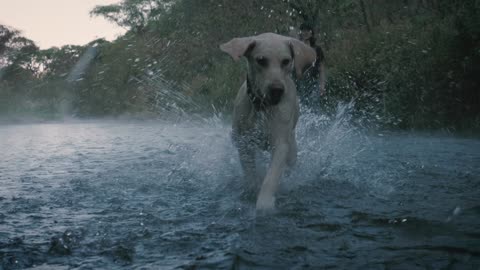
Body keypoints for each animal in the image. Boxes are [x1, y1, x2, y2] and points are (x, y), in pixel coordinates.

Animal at [219, 32, 316, 211]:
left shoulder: (280, 143)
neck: (263, 108)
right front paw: (252, 189)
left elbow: (272, 176)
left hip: (292, 150)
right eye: (261, 60)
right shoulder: (244, 141)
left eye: (286, 61)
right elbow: (250, 173)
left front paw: (264, 204)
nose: (277, 90)